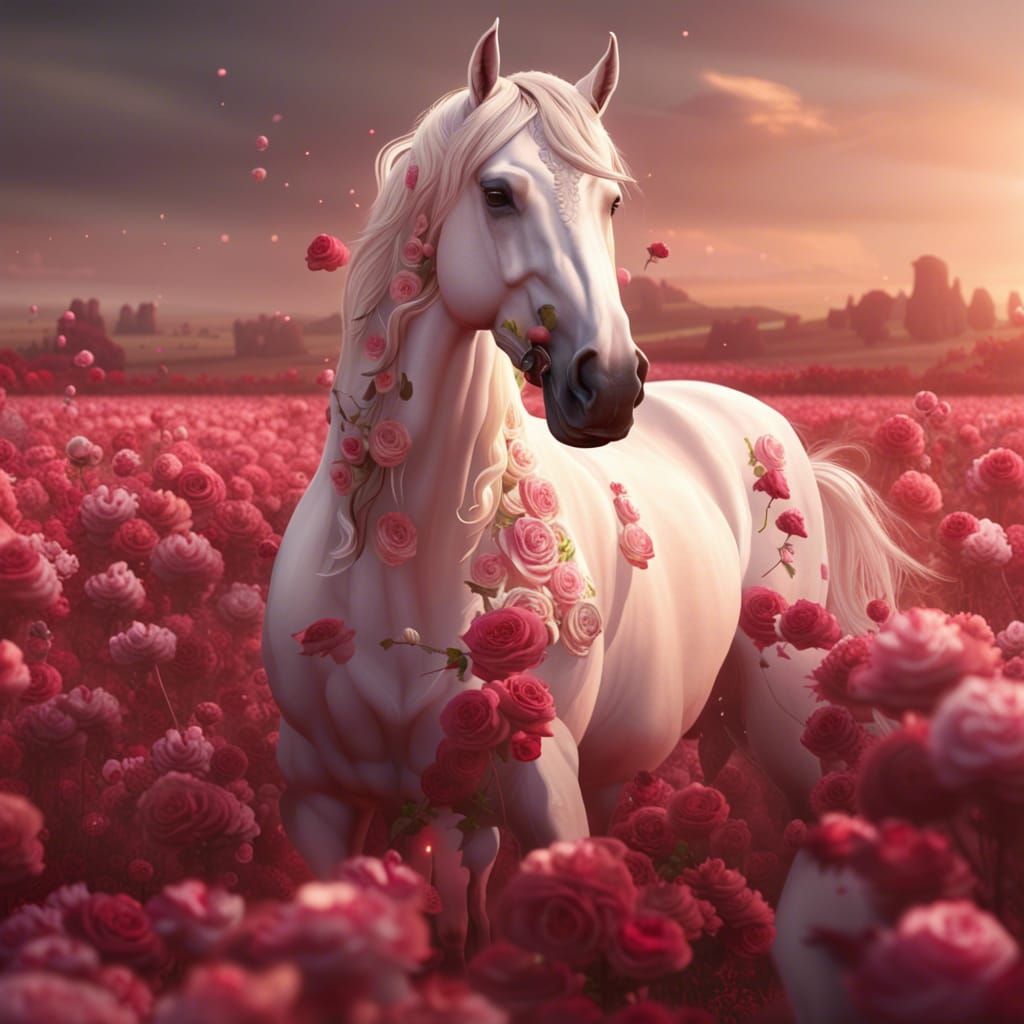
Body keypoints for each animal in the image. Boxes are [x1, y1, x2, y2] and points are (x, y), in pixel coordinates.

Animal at [262, 19, 920, 989]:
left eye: (611, 202)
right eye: (497, 193)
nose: (606, 383)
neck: (402, 560)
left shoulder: (544, 790)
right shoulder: (319, 804)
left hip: (790, 714)